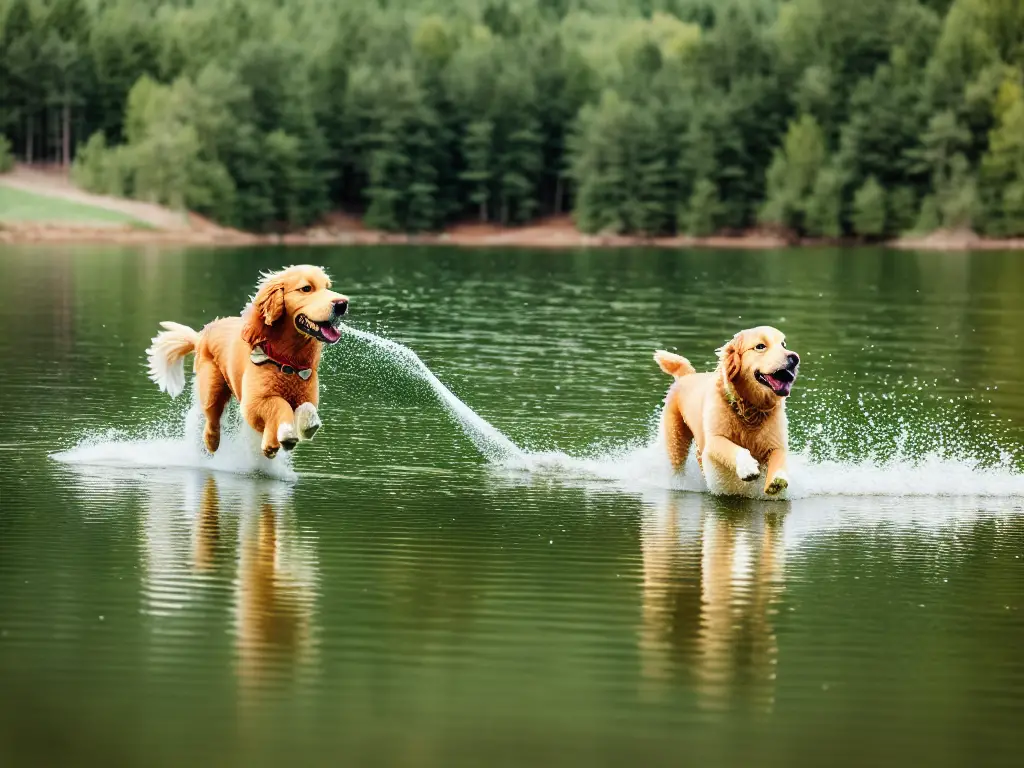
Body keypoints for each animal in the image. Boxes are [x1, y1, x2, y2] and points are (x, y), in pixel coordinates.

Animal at [146, 266, 350, 456]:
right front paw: (286, 432)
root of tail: (202, 335)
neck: (287, 361)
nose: (343, 304)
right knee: (212, 419)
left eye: (327, 287)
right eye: (306, 288)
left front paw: (303, 428)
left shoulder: (306, 395)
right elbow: (279, 404)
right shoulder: (253, 403)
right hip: (212, 388)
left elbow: (307, 409)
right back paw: (211, 443)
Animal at [655, 325, 798, 495]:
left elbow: (779, 456)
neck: (749, 409)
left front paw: (778, 479)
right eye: (760, 346)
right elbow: (733, 448)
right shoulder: (713, 440)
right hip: (676, 441)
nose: (794, 358)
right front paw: (748, 468)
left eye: (783, 344)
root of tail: (686, 376)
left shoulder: (777, 441)